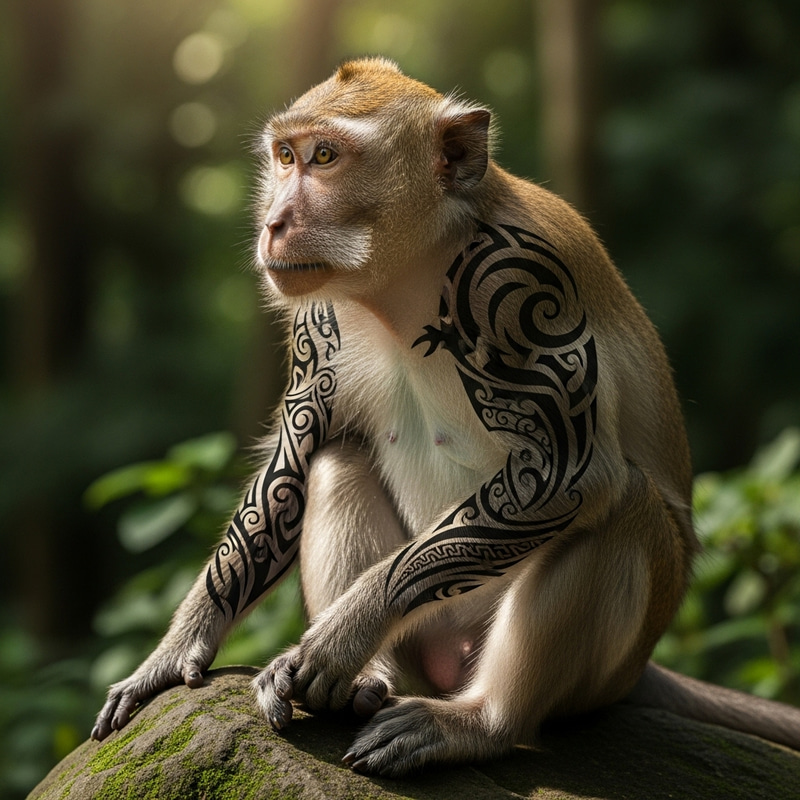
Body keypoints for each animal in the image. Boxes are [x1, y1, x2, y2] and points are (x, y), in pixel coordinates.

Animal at [92, 58, 800, 776]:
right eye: (285, 156)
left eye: (326, 157)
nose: (275, 224)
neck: (407, 276)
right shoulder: (317, 316)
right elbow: (295, 455)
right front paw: (176, 648)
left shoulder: (524, 272)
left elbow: (567, 471)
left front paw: (347, 630)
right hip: (428, 636)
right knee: (337, 460)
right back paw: (367, 679)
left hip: (601, 665)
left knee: (621, 505)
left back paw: (480, 722)